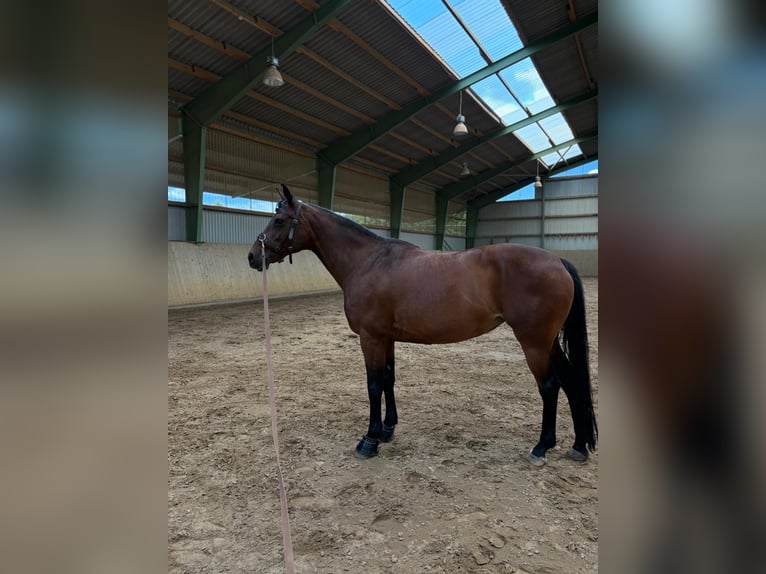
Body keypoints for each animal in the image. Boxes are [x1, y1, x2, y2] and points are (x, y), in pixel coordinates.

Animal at [249, 187, 596, 466]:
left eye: (279, 220)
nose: (253, 257)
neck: (368, 262)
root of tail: (557, 261)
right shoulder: (385, 338)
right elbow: (388, 380)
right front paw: (387, 429)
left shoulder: (370, 338)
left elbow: (373, 385)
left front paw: (369, 440)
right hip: (548, 342)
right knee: (572, 381)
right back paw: (579, 446)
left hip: (534, 342)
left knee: (550, 386)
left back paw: (541, 448)